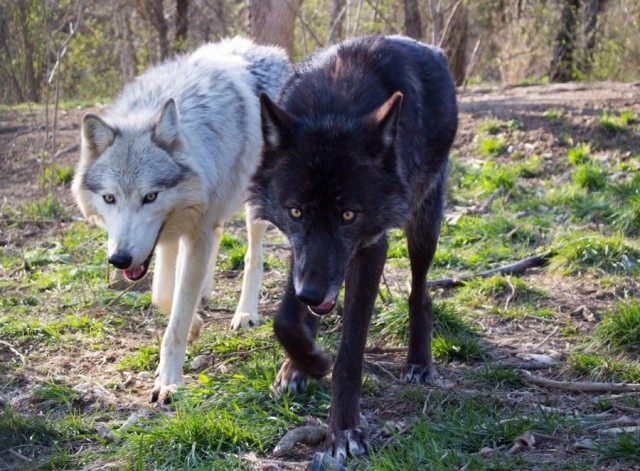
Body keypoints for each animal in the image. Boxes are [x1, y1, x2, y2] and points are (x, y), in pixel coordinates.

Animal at [72, 37, 290, 406]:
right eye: (110, 198)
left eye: (150, 197)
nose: (119, 259)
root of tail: (272, 51)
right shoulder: (172, 235)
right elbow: (163, 295)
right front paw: (195, 323)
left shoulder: (194, 229)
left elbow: (175, 319)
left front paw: (169, 382)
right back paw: (206, 292)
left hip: (254, 206)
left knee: (253, 255)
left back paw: (245, 313)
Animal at [248, 35, 458, 462]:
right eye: (296, 211)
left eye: (348, 214)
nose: (312, 293)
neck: (334, 106)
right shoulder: (299, 250)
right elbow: (286, 319)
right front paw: (305, 362)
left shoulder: (372, 246)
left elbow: (350, 353)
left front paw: (343, 431)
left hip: (424, 225)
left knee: (421, 291)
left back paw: (418, 362)